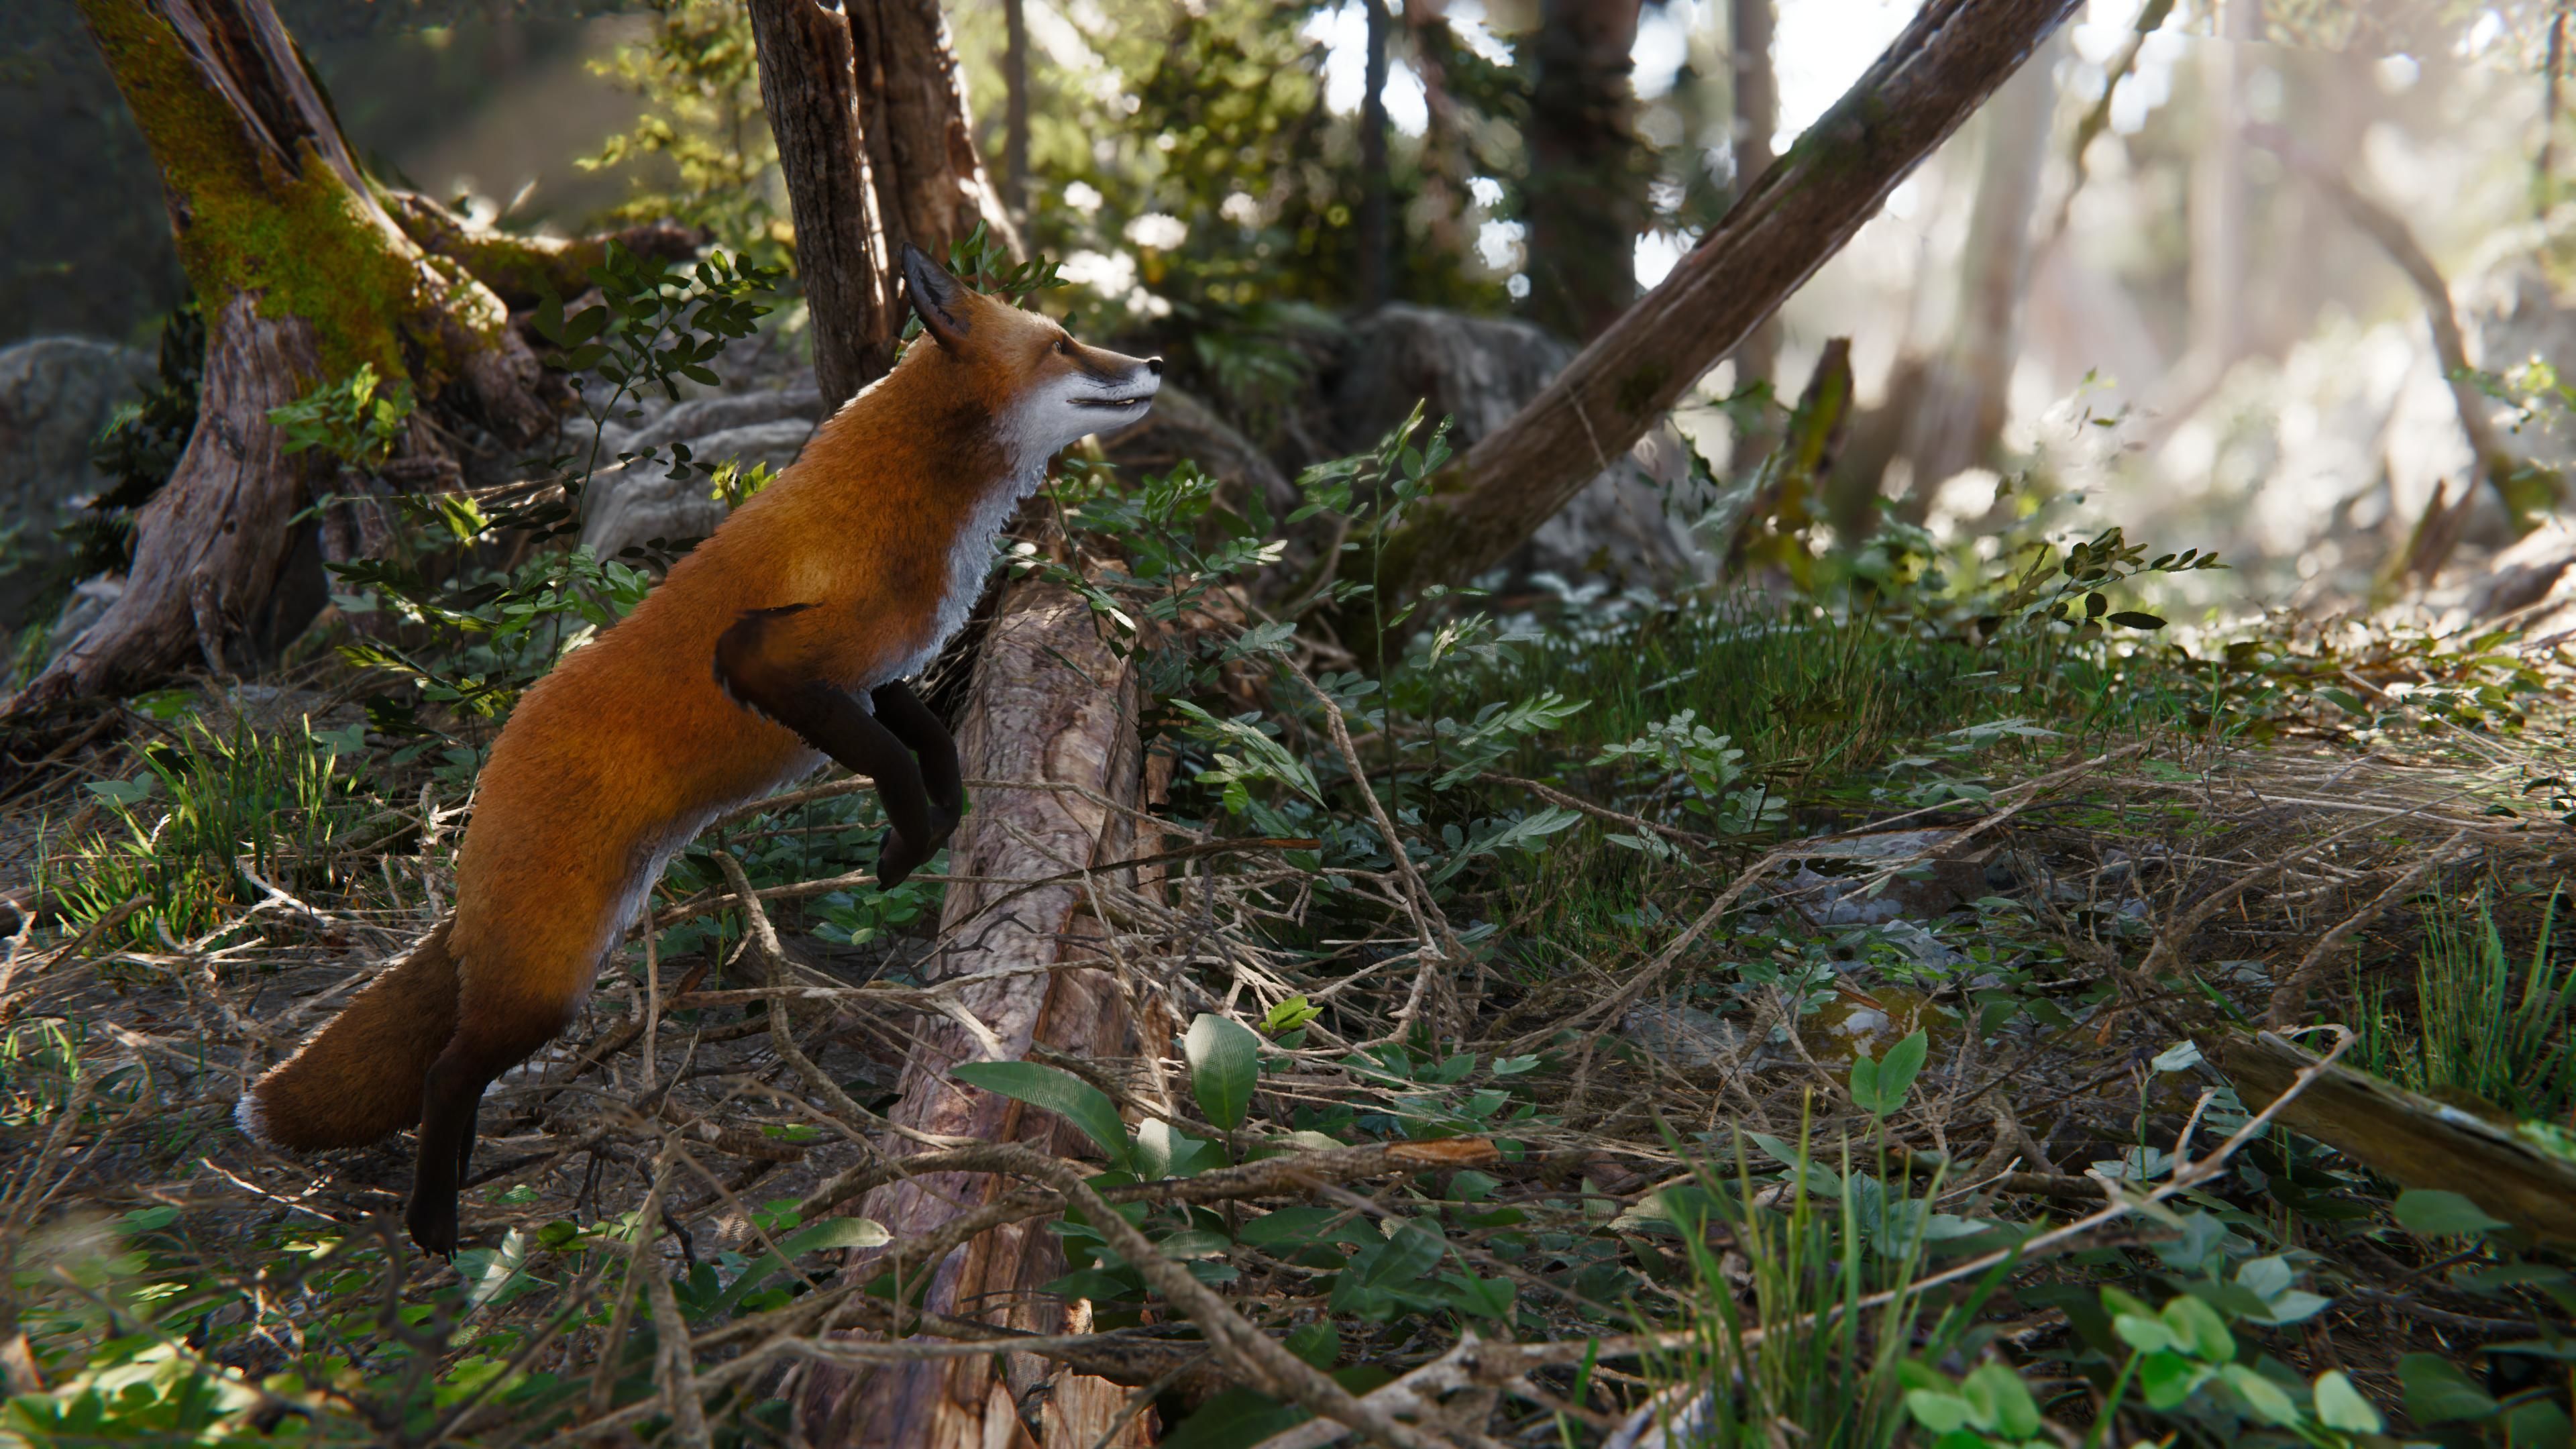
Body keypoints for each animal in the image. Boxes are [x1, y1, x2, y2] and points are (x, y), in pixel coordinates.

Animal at [237, 245, 1162, 1256]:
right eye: (1064, 343)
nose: (1155, 362)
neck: (912, 494)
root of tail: (493, 769)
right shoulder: (768, 657)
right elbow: (890, 762)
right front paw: (904, 850)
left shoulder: (873, 672)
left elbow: (930, 748)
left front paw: (936, 826)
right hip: (548, 983)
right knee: (447, 1072)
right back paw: (435, 1226)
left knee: (451, 1060)